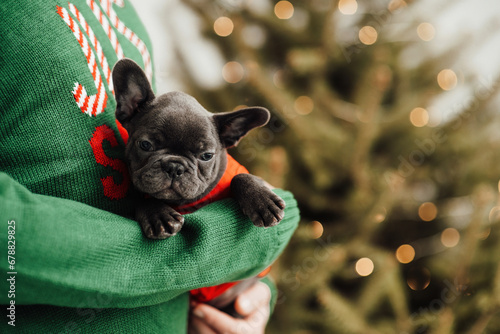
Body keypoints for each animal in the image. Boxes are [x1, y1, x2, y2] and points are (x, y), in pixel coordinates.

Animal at [112, 58, 286, 240]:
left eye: (207, 156)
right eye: (145, 145)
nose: (174, 167)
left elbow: (240, 177)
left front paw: (263, 201)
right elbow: (145, 199)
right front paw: (157, 215)